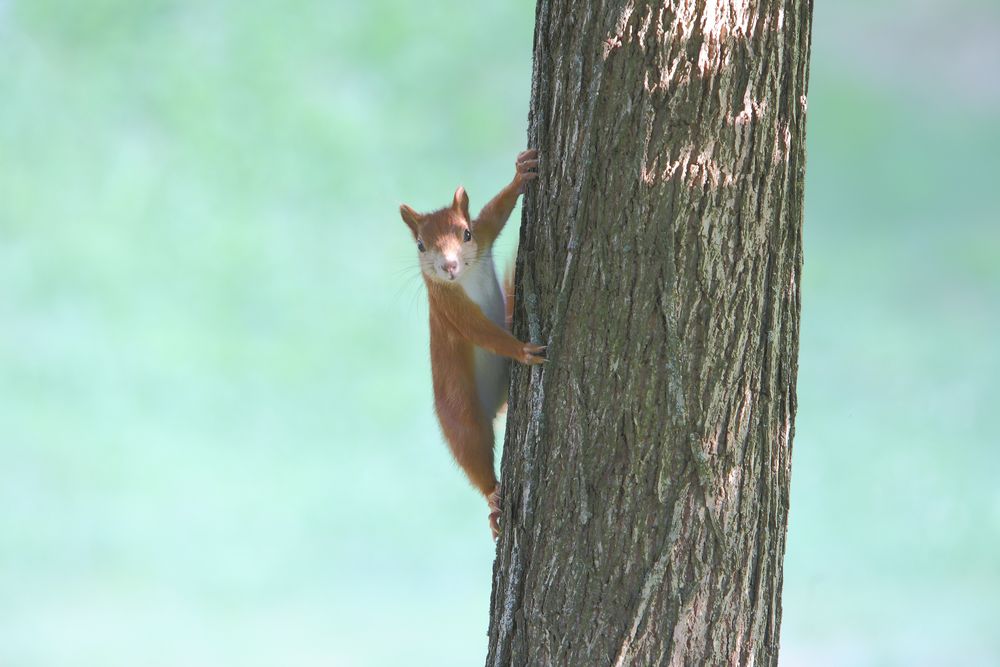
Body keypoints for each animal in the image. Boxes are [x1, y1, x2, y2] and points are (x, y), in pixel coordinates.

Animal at [398, 149, 544, 540]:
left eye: (464, 233)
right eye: (421, 245)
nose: (449, 266)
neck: (464, 277)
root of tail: (493, 408)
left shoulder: (484, 236)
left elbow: (497, 210)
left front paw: (521, 174)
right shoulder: (448, 306)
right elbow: (480, 332)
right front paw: (521, 350)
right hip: (462, 417)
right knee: (475, 457)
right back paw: (493, 498)